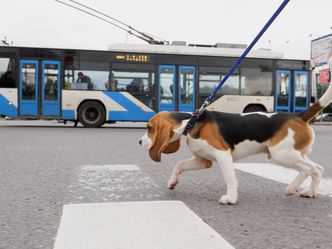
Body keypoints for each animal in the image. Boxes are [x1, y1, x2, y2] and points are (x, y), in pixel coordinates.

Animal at [139, 57, 330, 205]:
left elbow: (230, 177)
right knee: (317, 168)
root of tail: (299, 115)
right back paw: (308, 191)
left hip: (281, 153)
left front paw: (231, 198)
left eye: (149, 128)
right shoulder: (203, 160)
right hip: (295, 153)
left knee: (312, 169)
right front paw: (172, 182)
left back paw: (293, 188)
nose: (140, 142)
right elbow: (179, 165)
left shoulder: (223, 154)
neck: (192, 122)